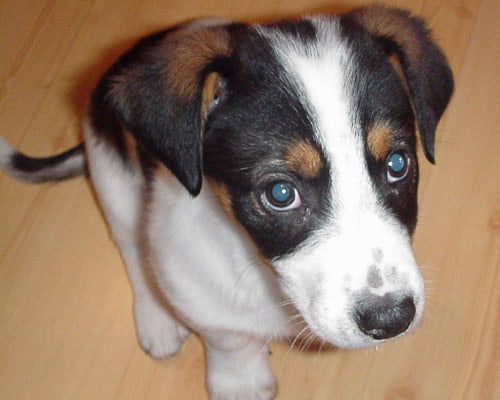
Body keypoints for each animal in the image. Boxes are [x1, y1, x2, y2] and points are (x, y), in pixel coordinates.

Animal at [0, 4, 454, 398]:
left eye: (397, 164)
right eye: (280, 193)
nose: (391, 319)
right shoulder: (192, 279)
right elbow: (229, 338)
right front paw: (241, 383)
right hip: (114, 179)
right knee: (133, 250)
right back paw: (156, 319)